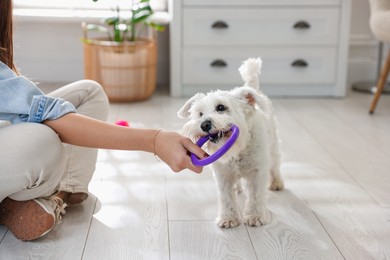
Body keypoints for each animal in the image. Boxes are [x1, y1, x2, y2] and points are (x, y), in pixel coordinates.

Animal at [177, 58, 284, 229]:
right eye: (200, 114)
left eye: (221, 107)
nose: (204, 124)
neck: (237, 150)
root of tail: (252, 88)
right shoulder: (223, 175)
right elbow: (226, 198)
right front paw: (228, 218)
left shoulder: (257, 172)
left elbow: (255, 196)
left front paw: (255, 216)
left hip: (273, 146)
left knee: (275, 166)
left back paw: (277, 183)